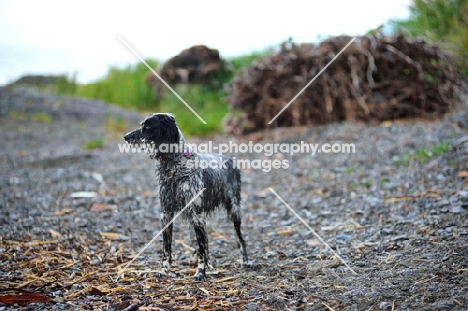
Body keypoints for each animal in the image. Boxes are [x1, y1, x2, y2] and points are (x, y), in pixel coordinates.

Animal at [124, 113, 249, 282]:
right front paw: (164, 271)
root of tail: (229, 158)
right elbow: (167, 248)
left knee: (239, 238)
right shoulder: (166, 214)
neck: (174, 166)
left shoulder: (197, 215)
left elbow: (203, 248)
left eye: (148, 126)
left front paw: (200, 273)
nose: (126, 137)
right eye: (141, 125)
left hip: (234, 209)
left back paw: (245, 261)